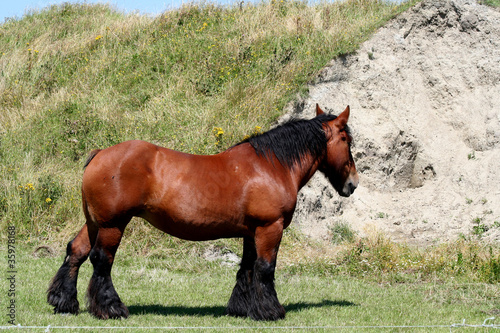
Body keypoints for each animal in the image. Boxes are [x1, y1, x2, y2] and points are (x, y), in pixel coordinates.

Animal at [47, 104, 358, 320]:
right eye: (346, 139)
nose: (353, 184)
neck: (271, 166)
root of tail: (100, 154)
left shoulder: (251, 232)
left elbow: (246, 269)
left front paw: (241, 308)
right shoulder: (270, 227)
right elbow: (265, 268)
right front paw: (270, 311)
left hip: (94, 222)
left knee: (76, 251)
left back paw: (64, 302)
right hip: (113, 224)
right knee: (102, 261)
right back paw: (111, 308)